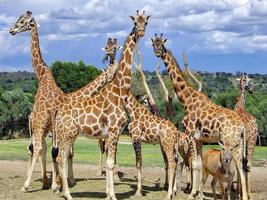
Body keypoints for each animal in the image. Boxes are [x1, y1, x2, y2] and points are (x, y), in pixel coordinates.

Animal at [9, 11, 119, 192]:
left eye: (22, 21)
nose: (11, 30)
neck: (42, 74)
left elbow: (59, 152)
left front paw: (59, 182)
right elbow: (62, 152)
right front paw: (60, 182)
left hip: (40, 126)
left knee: (39, 148)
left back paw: (31, 184)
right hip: (42, 127)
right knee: (39, 149)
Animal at [53, 10, 150, 200]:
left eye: (146, 22)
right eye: (135, 22)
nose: (141, 32)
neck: (119, 92)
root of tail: (59, 115)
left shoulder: (114, 133)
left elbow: (109, 163)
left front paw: (109, 194)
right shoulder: (113, 131)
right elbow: (111, 163)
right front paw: (112, 196)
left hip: (69, 135)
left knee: (63, 157)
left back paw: (65, 192)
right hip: (67, 134)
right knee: (61, 158)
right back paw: (67, 194)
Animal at [152, 34, 250, 200]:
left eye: (162, 45)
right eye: (154, 44)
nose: (157, 53)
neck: (186, 99)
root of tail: (241, 125)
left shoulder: (190, 134)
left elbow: (194, 164)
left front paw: (192, 194)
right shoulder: (199, 139)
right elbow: (197, 164)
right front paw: (198, 194)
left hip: (232, 142)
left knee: (239, 166)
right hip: (239, 142)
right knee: (242, 166)